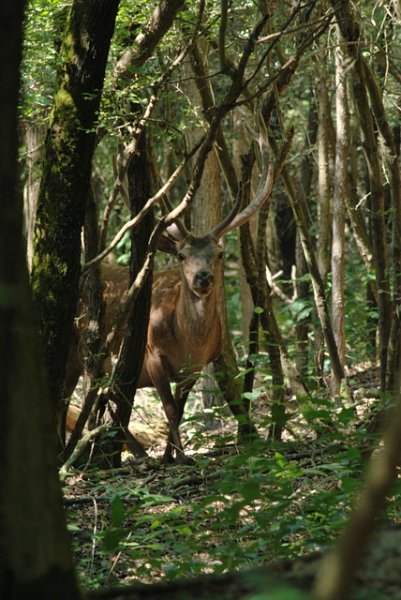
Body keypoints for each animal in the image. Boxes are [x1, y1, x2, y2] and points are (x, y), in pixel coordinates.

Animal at [65, 158, 278, 464]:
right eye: (181, 255)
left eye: (219, 254)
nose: (203, 277)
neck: (188, 343)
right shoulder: (153, 354)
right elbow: (169, 408)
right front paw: (181, 457)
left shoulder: (195, 367)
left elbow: (180, 407)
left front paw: (171, 454)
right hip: (89, 352)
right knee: (94, 400)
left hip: (75, 360)